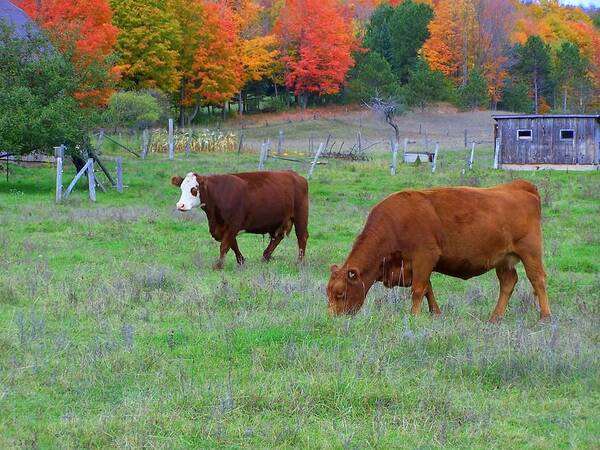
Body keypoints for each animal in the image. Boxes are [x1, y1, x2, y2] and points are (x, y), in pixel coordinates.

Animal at [170, 169, 308, 268]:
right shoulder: (224, 228)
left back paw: (300, 262)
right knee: (277, 237)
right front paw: (241, 261)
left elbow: (225, 245)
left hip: (300, 215)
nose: (180, 205)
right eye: (181, 188)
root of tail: (295, 175)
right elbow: (233, 244)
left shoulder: (233, 224)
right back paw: (265, 256)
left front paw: (219, 265)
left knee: (302, 237)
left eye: (194, 189)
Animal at [328, 180, 552, 324]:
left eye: (340, 293)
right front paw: (435, 313)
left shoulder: (424, 257)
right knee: (508, 282)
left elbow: (419, 290)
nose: (331, 318)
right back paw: (494, 318)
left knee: (537, 280)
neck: (395, 223)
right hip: (503, 260)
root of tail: (520, 187)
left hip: (530, 252)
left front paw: (414, 316)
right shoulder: (415, 266)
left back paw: (545, 317)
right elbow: (428, 289)